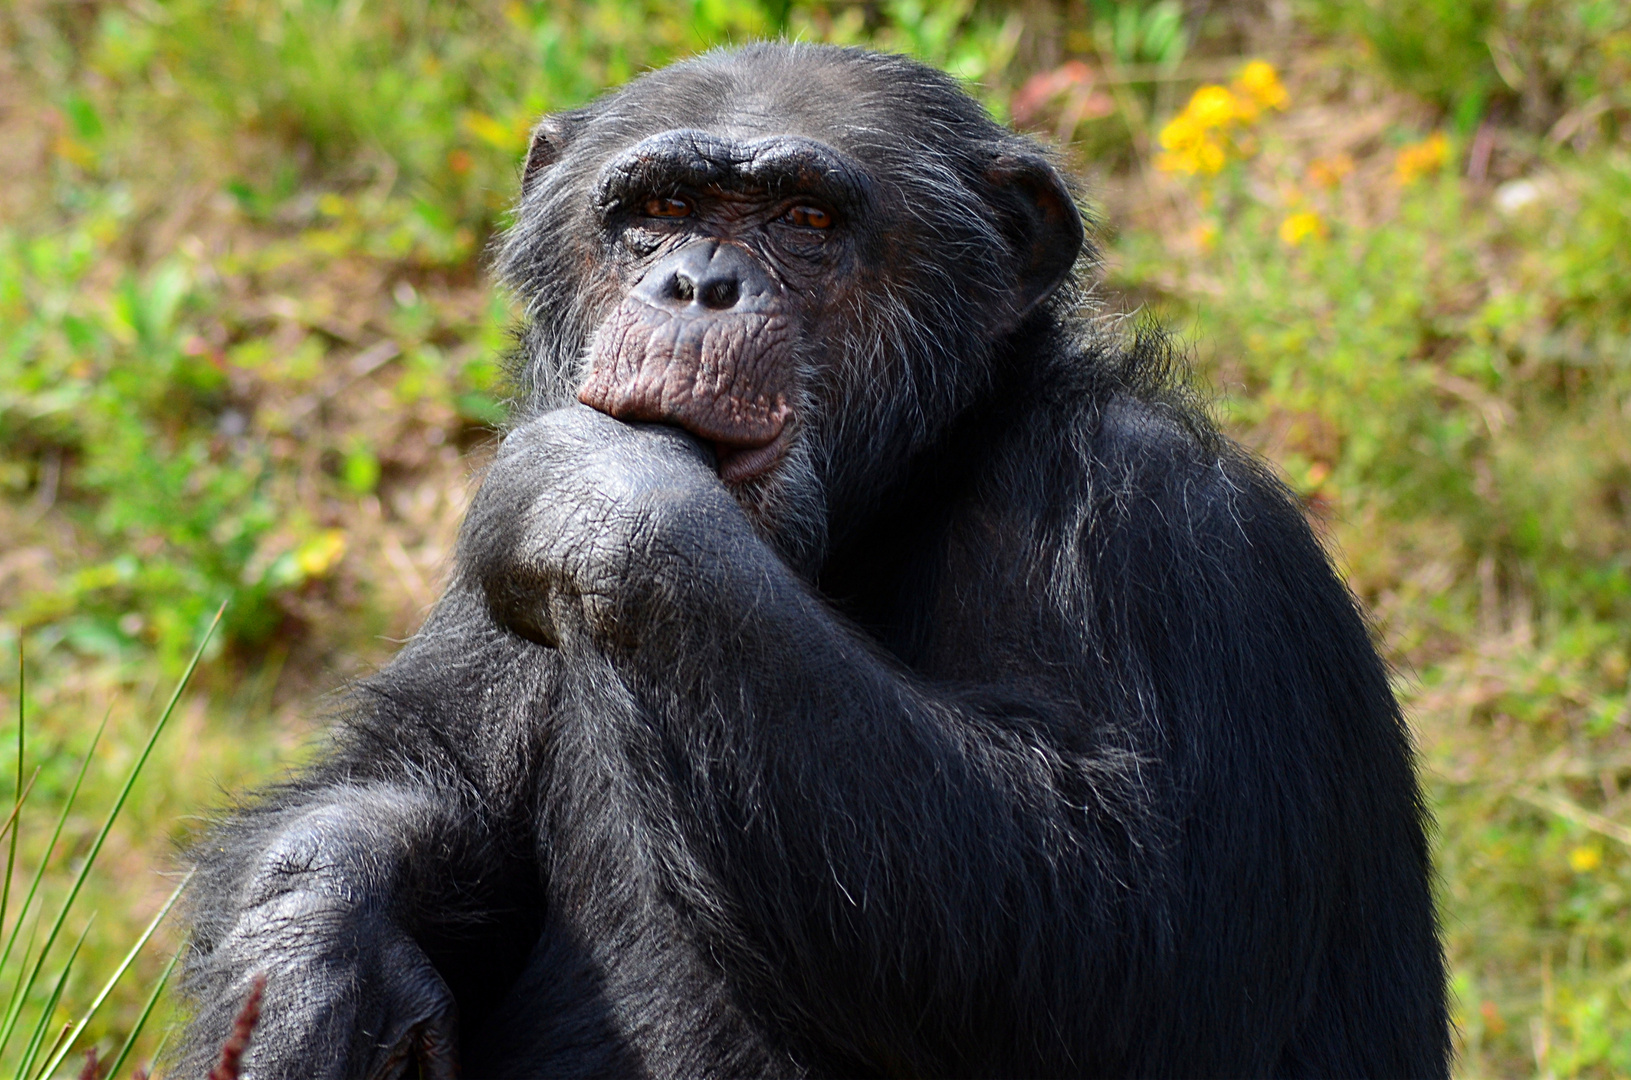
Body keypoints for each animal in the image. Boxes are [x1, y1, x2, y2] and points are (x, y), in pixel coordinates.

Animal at [178, 44, 1454, 1080]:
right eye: (658, 208)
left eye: (803, 219)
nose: (695, 283)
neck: (888, 500)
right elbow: (419, 773)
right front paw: (310, 959)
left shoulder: (1163, 536)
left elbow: (1119, 936)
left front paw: (609, 491)